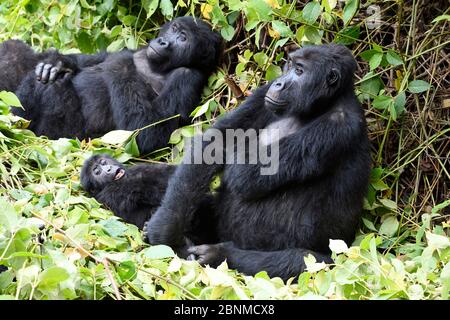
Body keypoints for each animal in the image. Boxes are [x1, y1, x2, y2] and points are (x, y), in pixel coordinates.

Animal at [0, 16, 222, 154]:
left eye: (183, 39)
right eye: (174, 28)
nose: (162, 42)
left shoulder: (187, 77)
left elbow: (149, 133)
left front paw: (120, 63)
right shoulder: (139, 48)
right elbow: (90, 61)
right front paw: (60, 62)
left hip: (68, 135)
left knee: (54, 90)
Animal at [142, 44, 370, 280]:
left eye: (299, 71)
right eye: (289, 65)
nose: (279, 83)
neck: (325, 103)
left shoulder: (339, 126)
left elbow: (243, 174)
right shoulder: (264, 92)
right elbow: (218, 141)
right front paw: (166, 228)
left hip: (339, 257)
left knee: (305, 262)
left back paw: (220, 254)